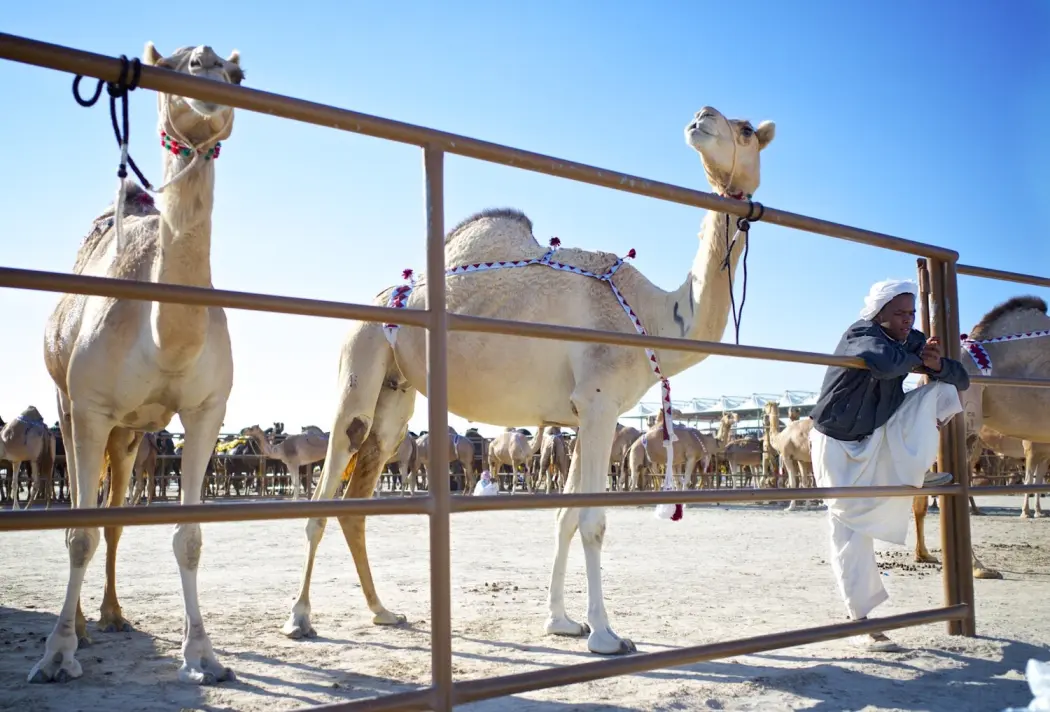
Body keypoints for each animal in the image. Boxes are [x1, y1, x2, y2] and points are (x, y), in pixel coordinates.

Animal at [31, 42, 244, 685]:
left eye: (237, 73)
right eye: (177, 61)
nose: (212, 71)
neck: (163, 335)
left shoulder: (206, 410)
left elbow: (188, 538)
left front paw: (203, 655)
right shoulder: (90, 406)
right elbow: (75, 533)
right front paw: (56, 655)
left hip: (130, 435)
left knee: (115, 515)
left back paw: (113, 616)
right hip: (69, 407)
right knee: (81, 517)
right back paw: (78, 630)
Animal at [279, 104, 775, 656]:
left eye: (746, 130)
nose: (701, 116)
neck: (653, 316)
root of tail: (376, 301)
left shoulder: (583, 415)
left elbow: (564, 518)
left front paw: (561, 621)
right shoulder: (599, 403)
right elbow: (593, 521)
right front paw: (605, 635)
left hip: (396, 393)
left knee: (357, 499)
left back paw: (382, 611)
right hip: (358, 364)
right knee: (328, 485)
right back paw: (299, 618)